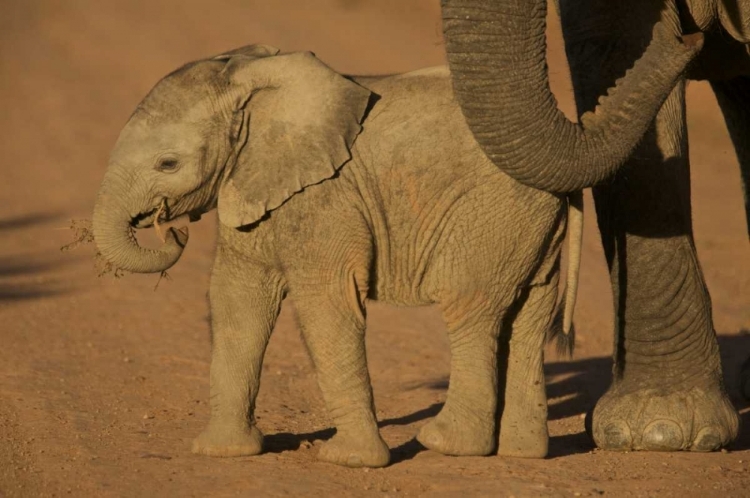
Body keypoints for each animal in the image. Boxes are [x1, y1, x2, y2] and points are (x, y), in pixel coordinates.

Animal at [92, 43, 580, 466]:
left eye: (168, 164)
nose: (170, 230)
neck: (254, 84)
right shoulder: (251, 189)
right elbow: (237, 302)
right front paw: (222, 452)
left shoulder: (326, 198)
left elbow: (327, 304)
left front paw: (350, 461)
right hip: (530, 223)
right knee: (528, 317)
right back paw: (523, 452)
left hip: (491, 213)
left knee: (470, 308)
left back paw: (445, 444)